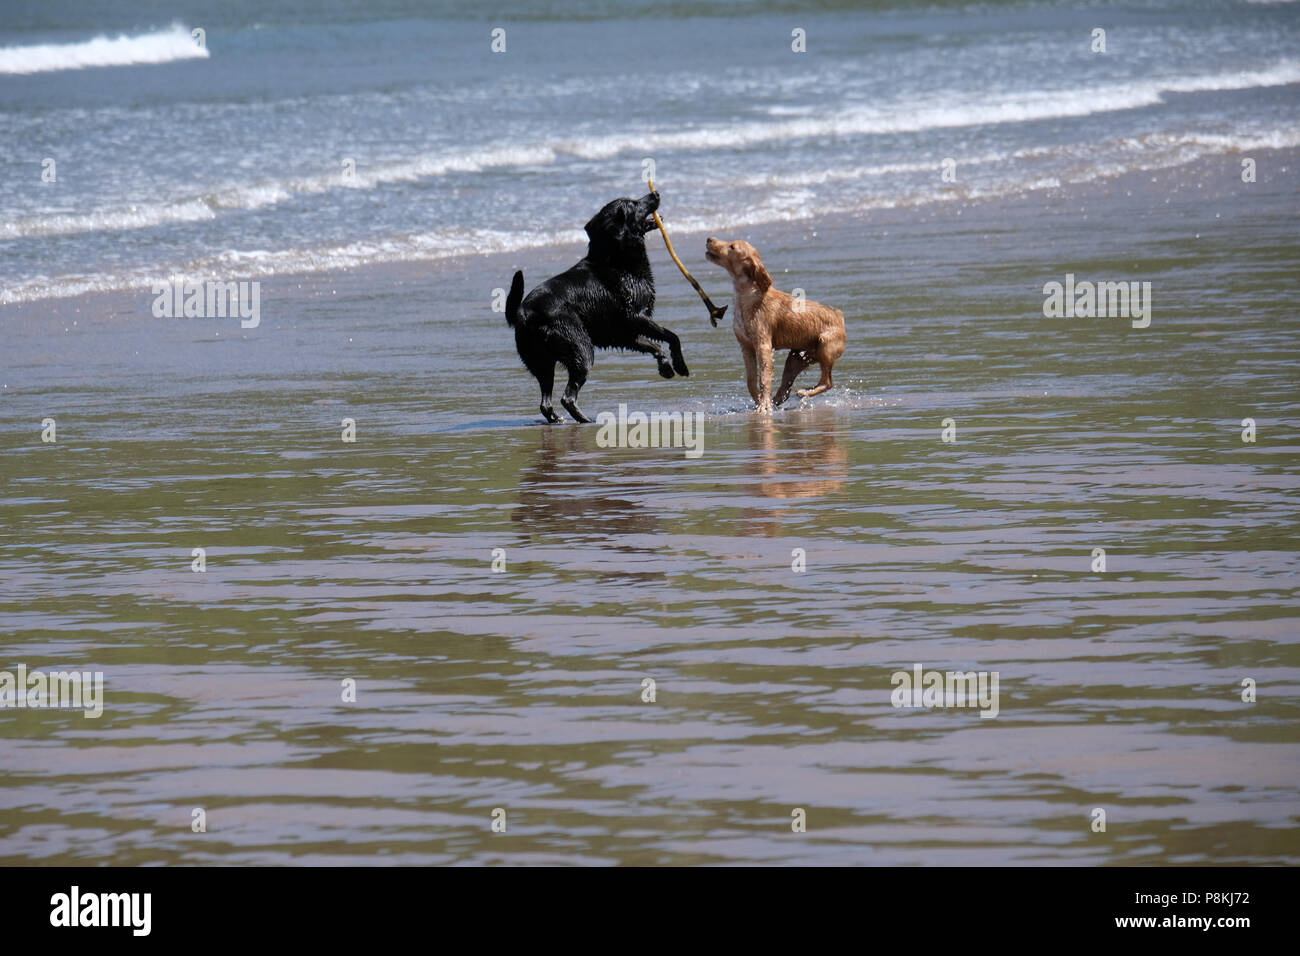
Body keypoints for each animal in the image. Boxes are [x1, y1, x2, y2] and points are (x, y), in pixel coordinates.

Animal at [504, 191, 691, 421]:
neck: (617, 259)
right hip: (581, 350)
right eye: (635, 204)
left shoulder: (625, 334)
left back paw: (559, 420)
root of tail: (523, 313)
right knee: (567, 397)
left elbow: (655, 345)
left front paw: (665, 367)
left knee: (545, 403)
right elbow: (672, 336)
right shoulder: (636, 318)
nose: (655, 193)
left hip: (543, 364)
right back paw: (586, 420)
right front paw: (680, 365)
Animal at [707, 238, 847, 411]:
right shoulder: (746, 347)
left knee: (828, 382)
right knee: (786, 390)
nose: (709, 239)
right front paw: (760, 401)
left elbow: (764, 378)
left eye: (732, 246)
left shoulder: (763, 345)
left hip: (825, 348)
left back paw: (804, 392)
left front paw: (763, 405)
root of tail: (839, 316)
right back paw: (777, 401)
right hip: (795, 359)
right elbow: (751, 380)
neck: (745, 297)